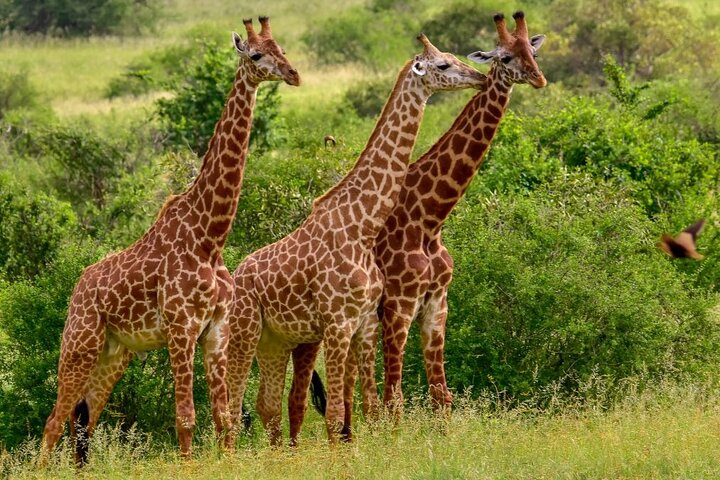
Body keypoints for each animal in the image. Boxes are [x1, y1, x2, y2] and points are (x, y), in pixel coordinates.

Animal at [40, 17, 300, 465]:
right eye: (255, 55)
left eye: (281, 48)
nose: (293, 74)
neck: (209, 237)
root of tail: (77, 288)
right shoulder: (181, 328)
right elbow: (186, 418)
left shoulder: (216, 330)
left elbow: (224, 417)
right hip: (79, 344)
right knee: (54, 422)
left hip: (113, 353)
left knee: (83, 421)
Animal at [226, 35, 487, 446]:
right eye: (443, 65)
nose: (479, 78)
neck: (362, 224)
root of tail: (236, 275)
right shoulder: (339, 322)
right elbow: (337, 414)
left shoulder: (364, 323)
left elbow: (371, 406)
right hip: (245, 332)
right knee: (234, 407)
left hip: (277, 340)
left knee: (267, 405)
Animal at [290, 11, 546, 430]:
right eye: (506, 57)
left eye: (533, 52)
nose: (539, 78)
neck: (430, 220)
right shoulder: (399, 305)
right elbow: (396, 397)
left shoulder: (437, 303)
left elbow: (441, 395)